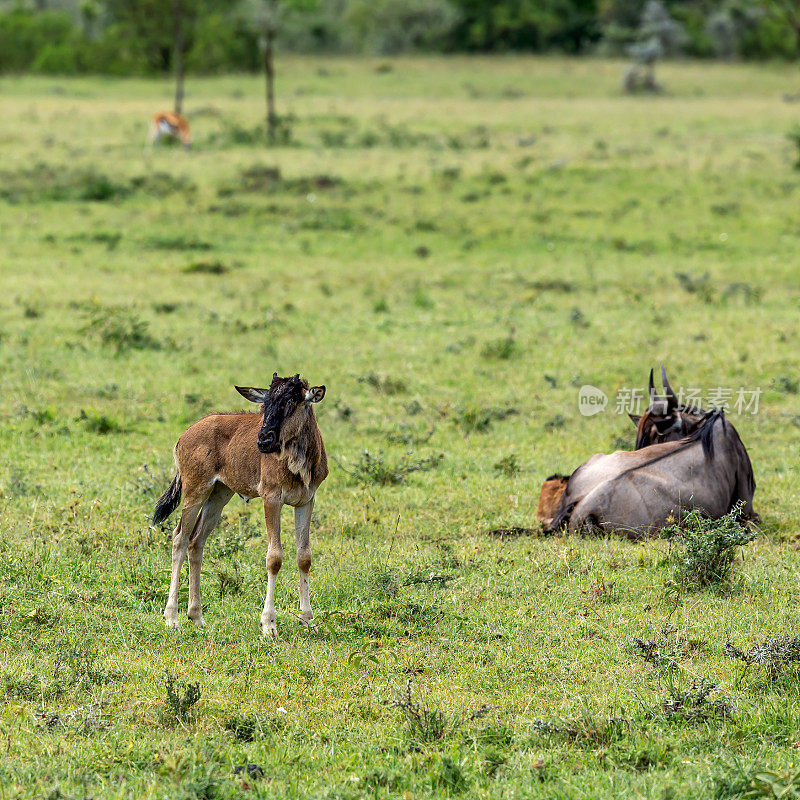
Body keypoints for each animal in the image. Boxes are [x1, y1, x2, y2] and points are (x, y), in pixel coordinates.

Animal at [152, 374, 326, 636]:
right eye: (265, 405)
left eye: (290, 404)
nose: (263, 441)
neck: (298, 461)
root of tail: (185, 435)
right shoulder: (271, 497)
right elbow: (274, 557)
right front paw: (268, 624)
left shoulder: (306, 500)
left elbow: (304, 556)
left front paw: (307, 620)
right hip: (195, 491)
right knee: (179, 538)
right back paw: (172, 617)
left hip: (219, 495)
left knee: (196, 542)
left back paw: (197, 617)